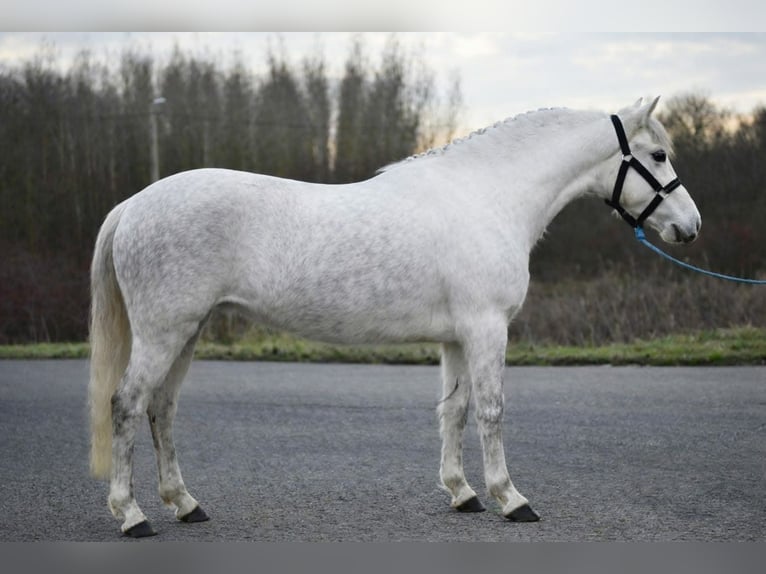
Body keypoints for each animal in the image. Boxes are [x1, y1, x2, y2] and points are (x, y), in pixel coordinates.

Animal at [88, 96, 701, 537]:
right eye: (658, 156)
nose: (689, 226)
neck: (488, 197)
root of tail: (134, 204)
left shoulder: (457, 337)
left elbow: (454, 410)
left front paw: (462, 493)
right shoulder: (487, 327)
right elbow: (491, 411)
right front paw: (510, 498)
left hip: (186, 332)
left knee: (162, 410)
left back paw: (185, 505)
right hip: (163, 333)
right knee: (127, 405)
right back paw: (132, 516)